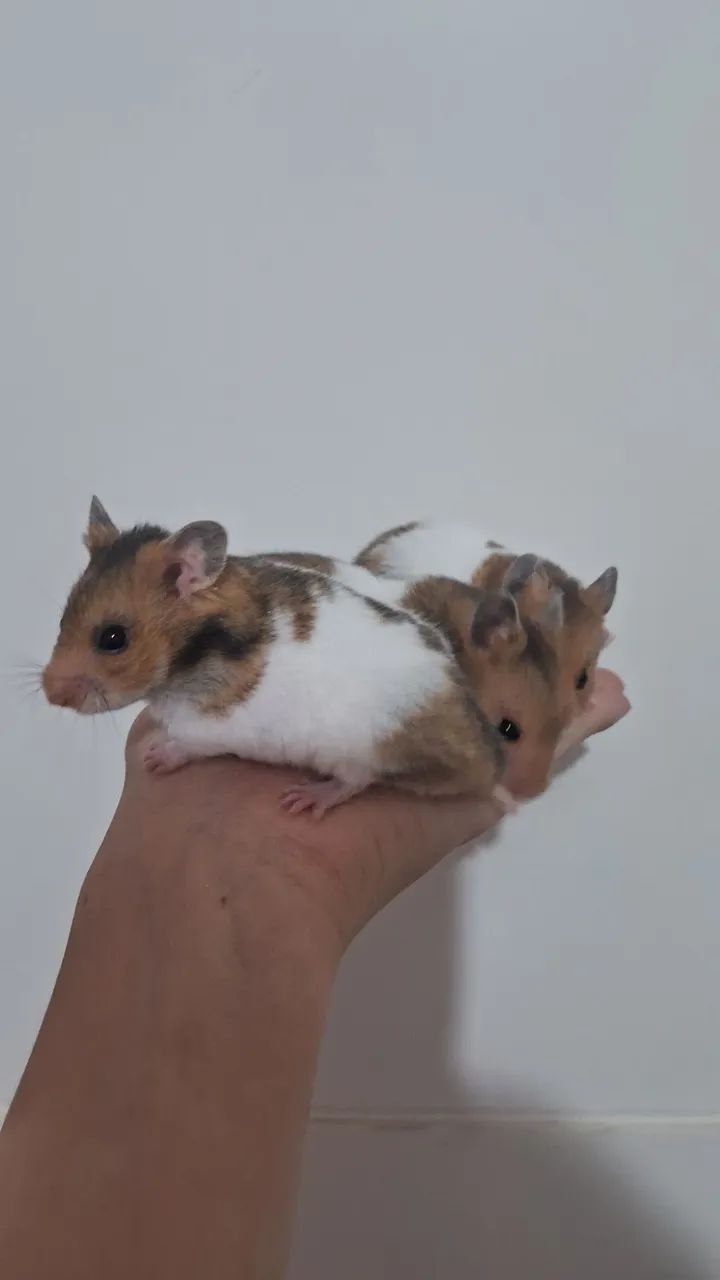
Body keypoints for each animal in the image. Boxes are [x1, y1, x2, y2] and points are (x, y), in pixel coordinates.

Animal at [42, 499, 511, 819]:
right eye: (62, 618)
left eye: (113, 638)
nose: (48, 694)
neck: (188, 664)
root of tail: (483, 753)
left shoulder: (209, 730)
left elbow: (186, 745)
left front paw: (154, 756)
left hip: (359, 748)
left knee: (355, 781)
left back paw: (305, 799)